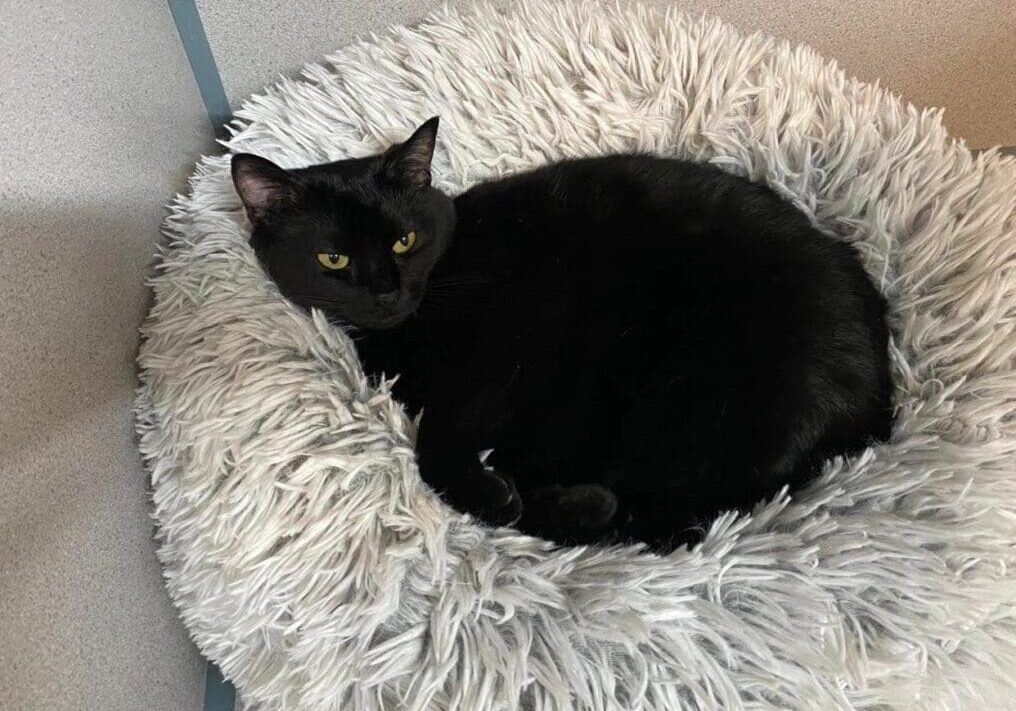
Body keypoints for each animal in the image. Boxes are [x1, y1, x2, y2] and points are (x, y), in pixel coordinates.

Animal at [232, 117, 890, 548]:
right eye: (333, 259)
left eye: (404, 241)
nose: (384, 291)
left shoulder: (502, 366)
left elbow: (432, 444)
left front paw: (485, 492)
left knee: (667, 522)